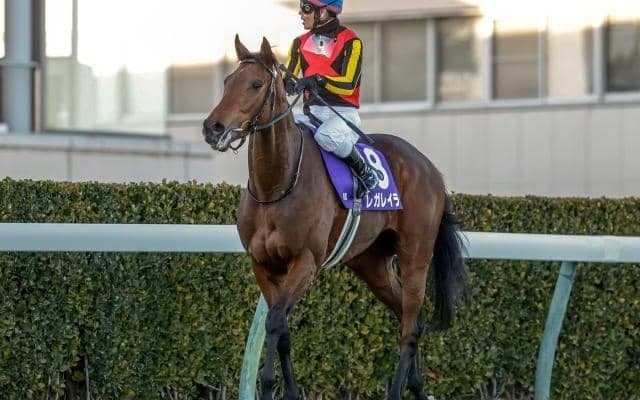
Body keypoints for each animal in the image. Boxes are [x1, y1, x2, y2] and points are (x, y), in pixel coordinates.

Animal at [203, 35, 468, 400]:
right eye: (228, 81)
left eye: (255, 84)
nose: (212, 128)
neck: (277, 185)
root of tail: (431, 170)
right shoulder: (263, 264)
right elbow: (283, 329)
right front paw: (290, 392)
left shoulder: (306, 261)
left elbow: (274, 321)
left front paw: (268, 386)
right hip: (372, 264)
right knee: (407, 315)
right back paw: (416, 386)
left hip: (416, 254)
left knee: (410, 324)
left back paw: (397, 390)